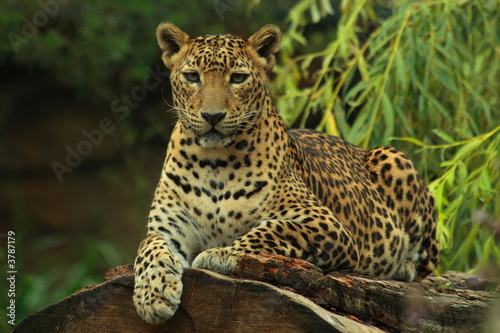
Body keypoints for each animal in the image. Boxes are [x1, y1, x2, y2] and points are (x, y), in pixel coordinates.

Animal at [133, 20, 438, 322]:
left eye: (238, 78)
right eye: (192, 76)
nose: (212, 116)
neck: (213, 163)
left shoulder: (327, 225)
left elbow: (274, 229)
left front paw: (223, 253)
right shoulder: (170, 228)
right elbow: (148, 246)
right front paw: (153, 293)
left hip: (394, 158)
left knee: (426, 266)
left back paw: (402, 267)